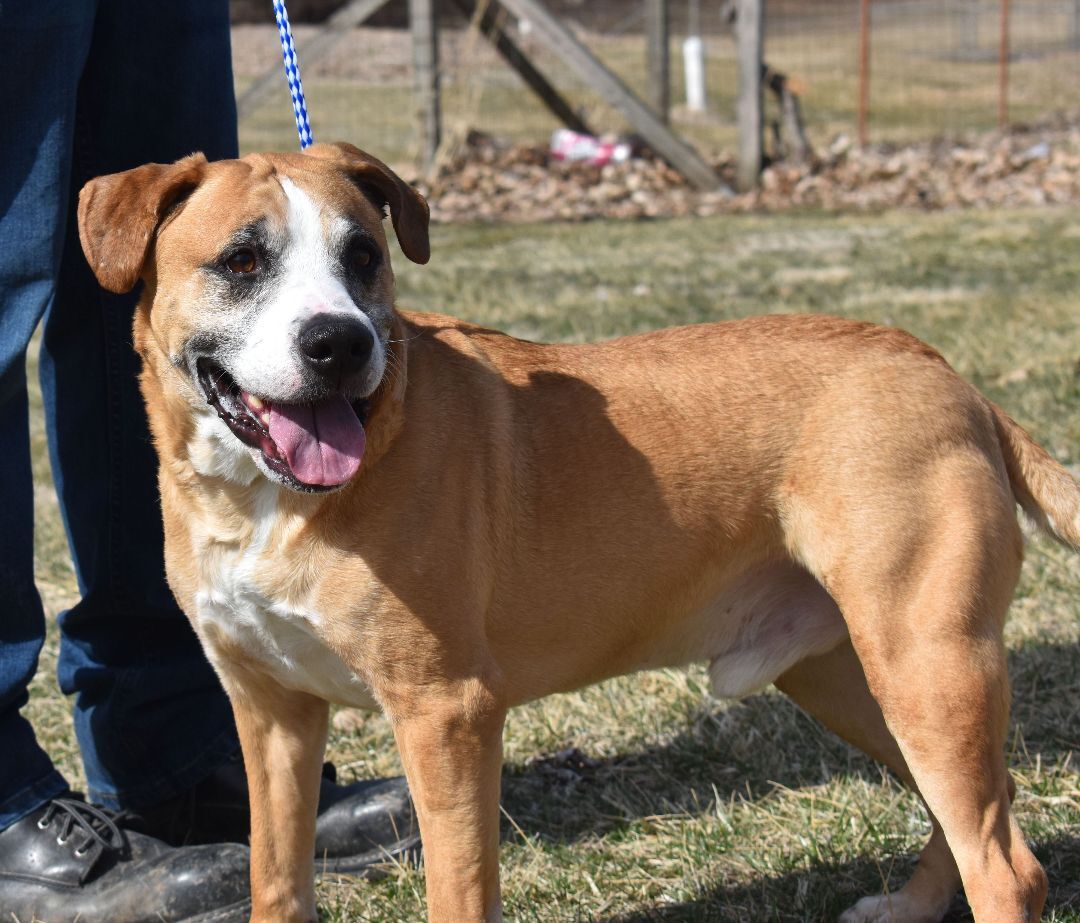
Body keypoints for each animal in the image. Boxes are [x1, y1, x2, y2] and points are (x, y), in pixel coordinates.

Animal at [78, 144, 1080, 923]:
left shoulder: (446, 714)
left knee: (1007, 866)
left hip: (927, 663)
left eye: (362, 255)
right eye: (242, 260)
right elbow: (277, 881)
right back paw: (915, 901)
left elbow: (458, 890)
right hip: (850, 677)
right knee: (986, 809)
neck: (261, 499)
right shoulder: (271, 714)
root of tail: (951, 377)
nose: (340, 343)